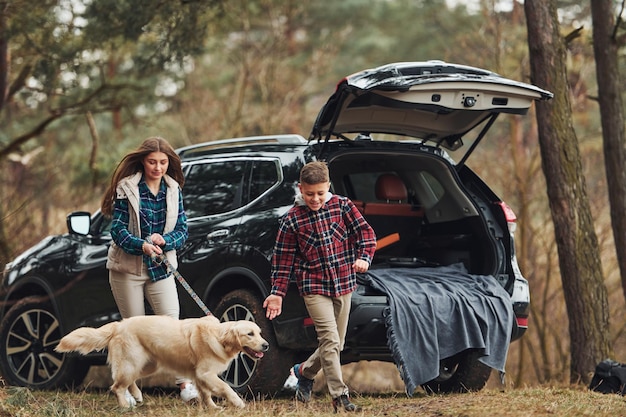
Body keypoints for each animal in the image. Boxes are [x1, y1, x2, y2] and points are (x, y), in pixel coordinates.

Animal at [54, 316, 266, 406]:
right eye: (249, 334)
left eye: (260, 333)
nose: (266, 345)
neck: (219, 337)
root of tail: (118, 325)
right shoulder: (206, 373)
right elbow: (226, 387)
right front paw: (238, 403)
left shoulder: (199, 376)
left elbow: (206, 394)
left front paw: (212, 408)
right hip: (132, 362)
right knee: (117, 386)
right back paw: (124, 406)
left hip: (147, 365)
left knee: (128, 381)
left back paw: (137, 395)